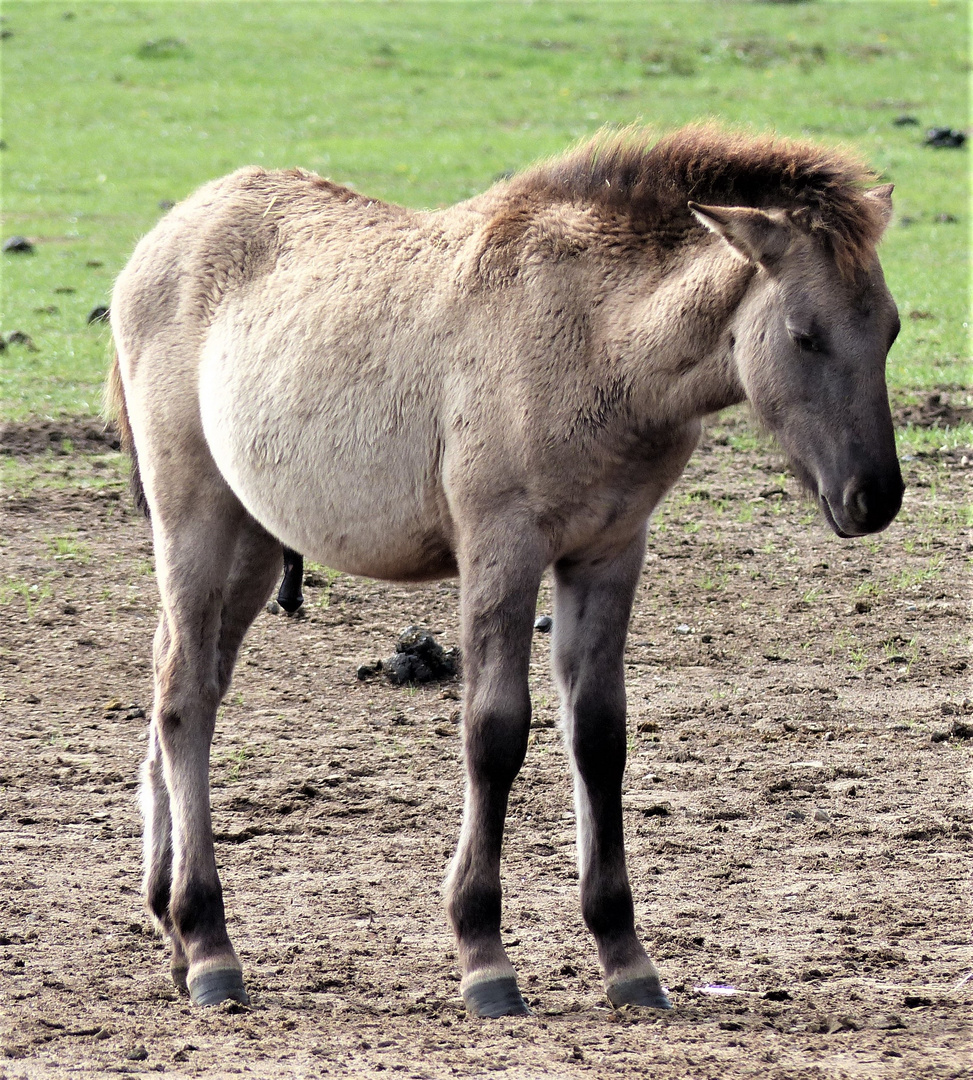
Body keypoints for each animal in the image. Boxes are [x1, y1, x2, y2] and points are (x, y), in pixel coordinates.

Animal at [107, 124, 902, 1010]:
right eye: (803, 333)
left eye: (891, 329)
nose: (873, 497)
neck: (595, 338)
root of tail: (160, 241)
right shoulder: (501, 547)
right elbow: (494, 733)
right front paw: (483, 954)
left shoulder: (609, 550)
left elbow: (598, 734)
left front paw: (625, 957)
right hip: (196, 519)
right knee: (183, 698)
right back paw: (209, 942)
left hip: (250, 543)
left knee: (183, 684)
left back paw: (175, 934)